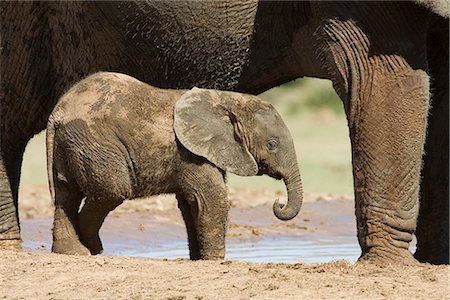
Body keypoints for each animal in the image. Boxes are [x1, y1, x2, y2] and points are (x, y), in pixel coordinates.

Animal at [47, 71, 304, 258]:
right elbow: (212, 198)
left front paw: (198, 259)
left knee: (66, 194)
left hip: (72, 144)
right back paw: (92, 248)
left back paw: (72, 253)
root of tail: (58, 111)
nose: (278, 203)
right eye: (271, 145)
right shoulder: (190, 153)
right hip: (95, 142)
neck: (226, 100)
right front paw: (215, 261)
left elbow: (191, 204)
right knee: (112, 192)